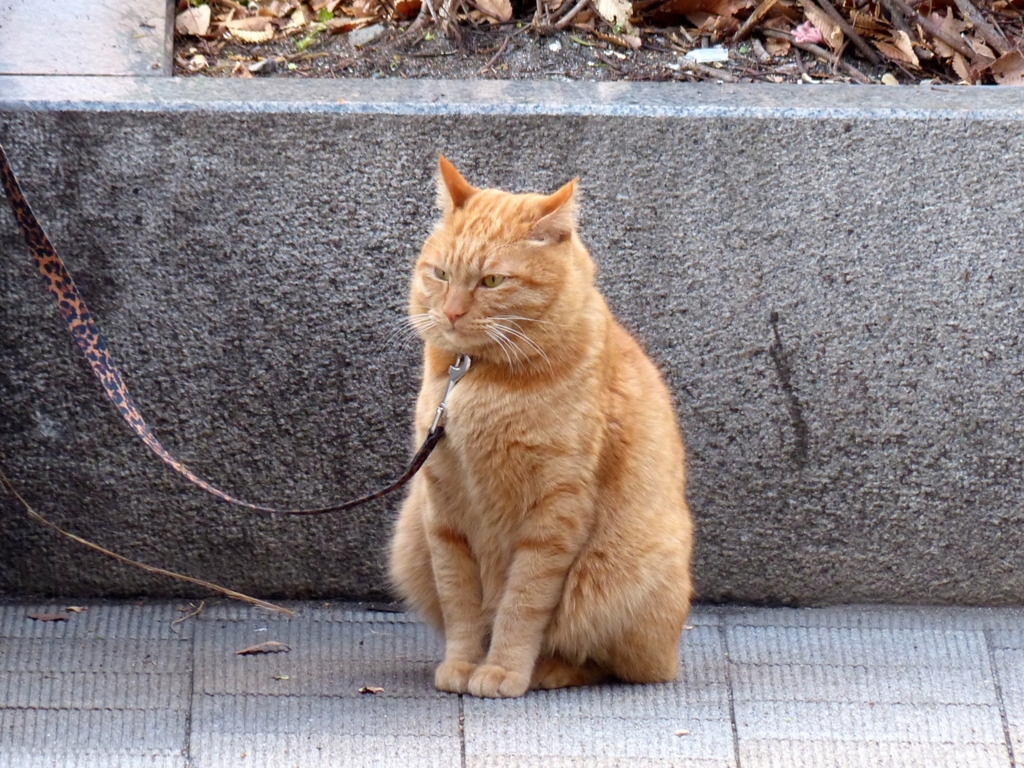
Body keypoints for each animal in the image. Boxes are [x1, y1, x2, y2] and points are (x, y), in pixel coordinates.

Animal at [387, 154, 692, 696]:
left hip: (620, 575)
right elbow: (461, 602)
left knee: (610, 660)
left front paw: (503, 669)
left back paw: (549, 669)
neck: (478, 377)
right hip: (410, 541)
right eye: (440, 274)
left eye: (491, 282)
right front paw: (463, 664)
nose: (451, 312)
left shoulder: (553, 514)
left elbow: (522, 604)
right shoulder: (444, 513)